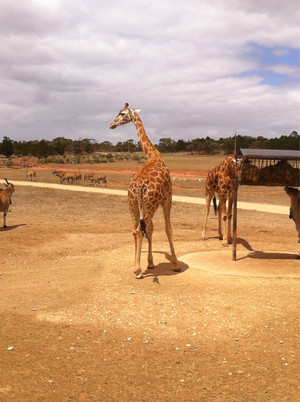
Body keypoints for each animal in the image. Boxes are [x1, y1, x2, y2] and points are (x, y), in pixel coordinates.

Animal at [110, 103, 180, 278]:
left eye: (122, 113)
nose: (111, 125)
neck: (154, 155)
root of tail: (138, 186)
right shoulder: (168, 198)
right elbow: (168, 229)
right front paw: (175, 264)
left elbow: (151, 229)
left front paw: (149, 263)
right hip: (149, 205)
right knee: (141, 230)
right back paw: (138, 270)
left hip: (133, 205)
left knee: (135, 230)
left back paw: (137, 267)